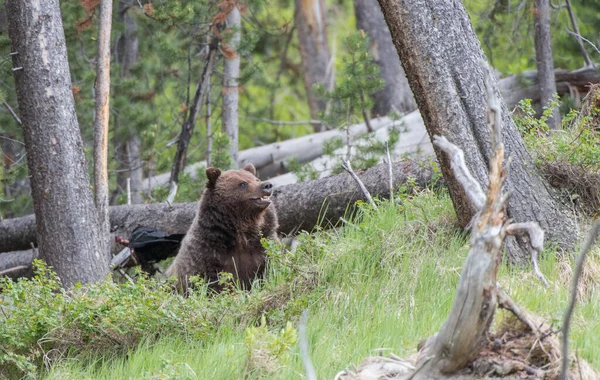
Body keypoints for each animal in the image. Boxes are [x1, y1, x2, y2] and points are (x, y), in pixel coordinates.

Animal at [166, 162, 278, 292]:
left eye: (256, 179)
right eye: (243, 183)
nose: (267, 185)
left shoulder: (262, 243)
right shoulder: (207, 255)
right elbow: (213, 282)